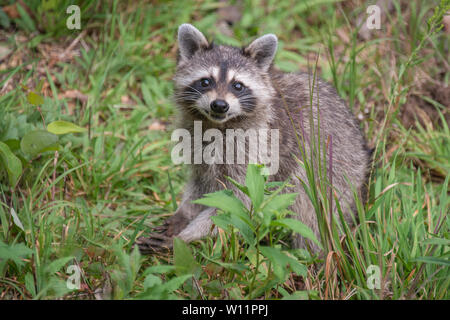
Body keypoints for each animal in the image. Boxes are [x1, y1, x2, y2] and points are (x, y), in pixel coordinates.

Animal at [136, 23, 370, 254]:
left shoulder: (256, 149)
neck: (218, 124)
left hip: (337, 177)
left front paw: (187, 235)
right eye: (205, 82)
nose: (219, 105)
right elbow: (201, 185)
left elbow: (238, 203)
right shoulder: (196, 142)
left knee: (311, 217)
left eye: (237, 85)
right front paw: (184, 213)